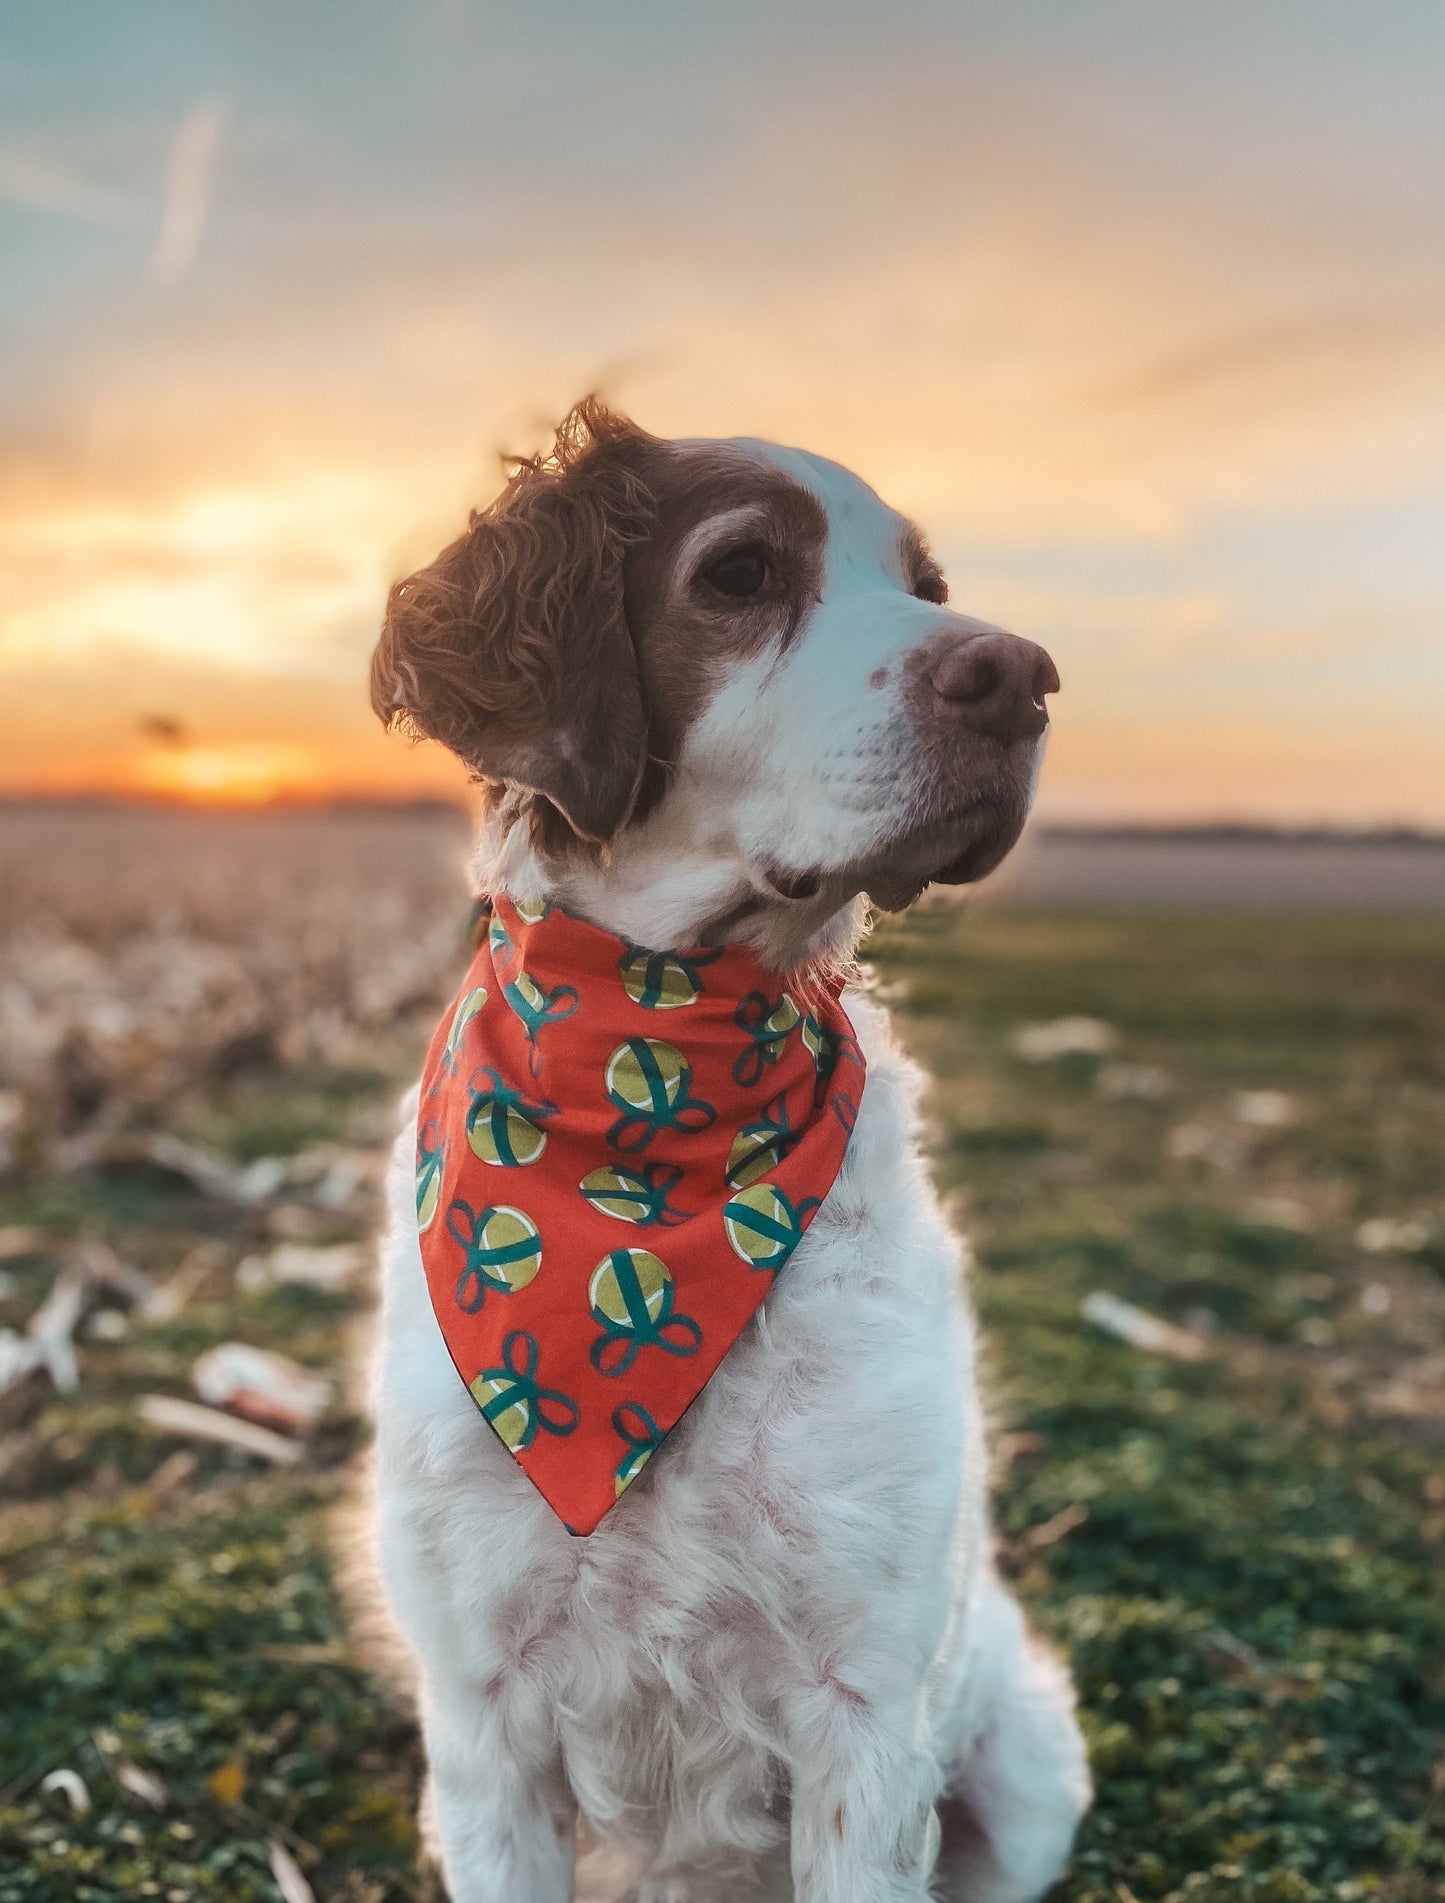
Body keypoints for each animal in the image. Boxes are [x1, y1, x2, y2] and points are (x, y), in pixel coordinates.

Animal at [367, 401, 1088, 1903]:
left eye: (926, 585)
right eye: (742, 573)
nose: (1018, 675)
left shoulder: (863, 1708)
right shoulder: (483, 1716)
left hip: (1020, 1774)